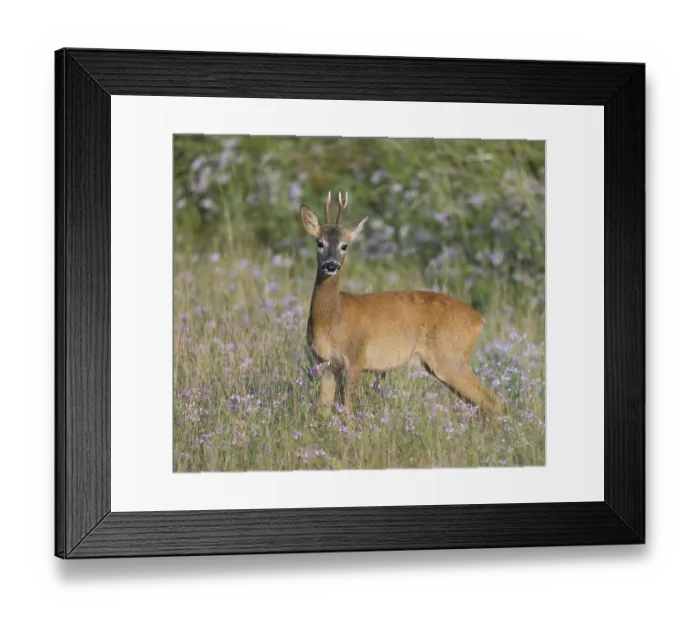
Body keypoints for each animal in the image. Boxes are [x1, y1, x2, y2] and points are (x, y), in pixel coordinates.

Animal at [300, 192, 504, 433]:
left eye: (345, 245)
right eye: (319, 243)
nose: (331, 265)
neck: (333, 318)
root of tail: (478, 319)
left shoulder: (355, 359)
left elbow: (347, 412)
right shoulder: (326, 364)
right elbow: (321, 411)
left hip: (452, 359)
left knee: (493, 401)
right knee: (482, 403)